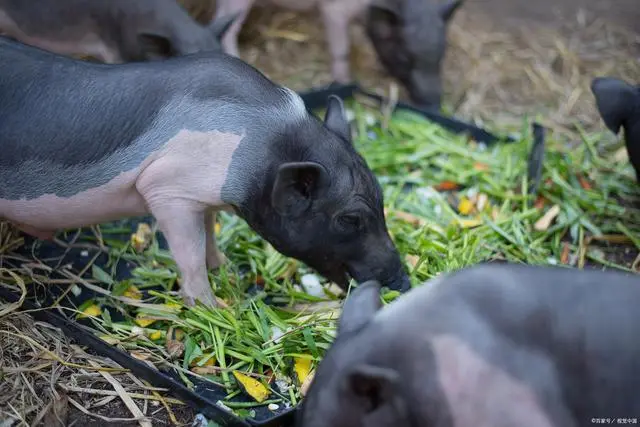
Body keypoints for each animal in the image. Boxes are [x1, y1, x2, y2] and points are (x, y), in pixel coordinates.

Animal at [0, 37, 410, 308]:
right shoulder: (166, 190)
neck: (263, 145)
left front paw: (229, 272)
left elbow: (210, 234)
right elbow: (191, 253)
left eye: (381, 198)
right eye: (350, 219)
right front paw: (215, 308)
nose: (404, 281)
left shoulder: (203, 196)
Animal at [212, 0, 462, 110]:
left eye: (442, 54)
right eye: (405, 58)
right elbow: (341, 48)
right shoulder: (334, 11)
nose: (434, 103)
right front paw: (343, 80)